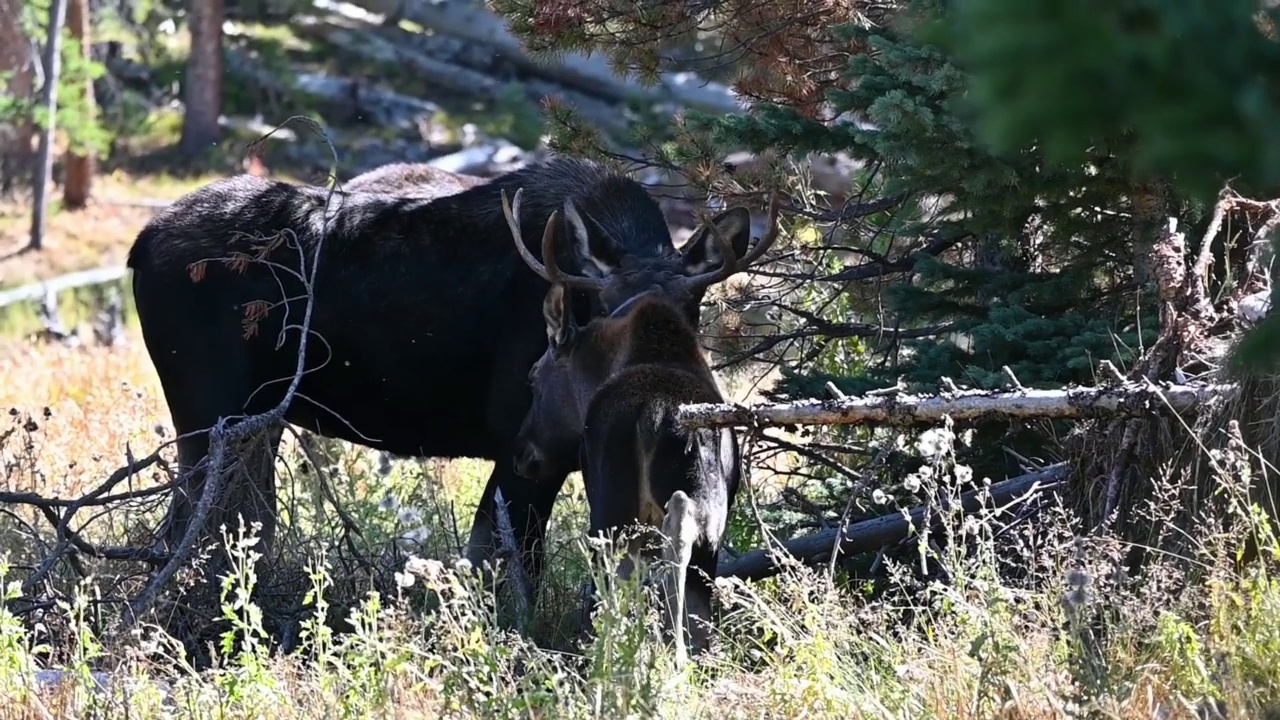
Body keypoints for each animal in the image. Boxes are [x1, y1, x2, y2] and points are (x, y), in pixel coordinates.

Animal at [129, 154, 768, 591]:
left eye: (688, 313)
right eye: (610, 315)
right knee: (189, 526)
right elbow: (506, 560)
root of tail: (140, 244)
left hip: (255, 420)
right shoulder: (521, 445)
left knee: (235, 522)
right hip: (209, 410)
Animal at [504, 185, 783, 661]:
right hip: (709, 517)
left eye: (533, 378)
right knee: (690, 574)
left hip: (613, 509)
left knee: (630, 572)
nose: (523, 454)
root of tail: (660, 416)